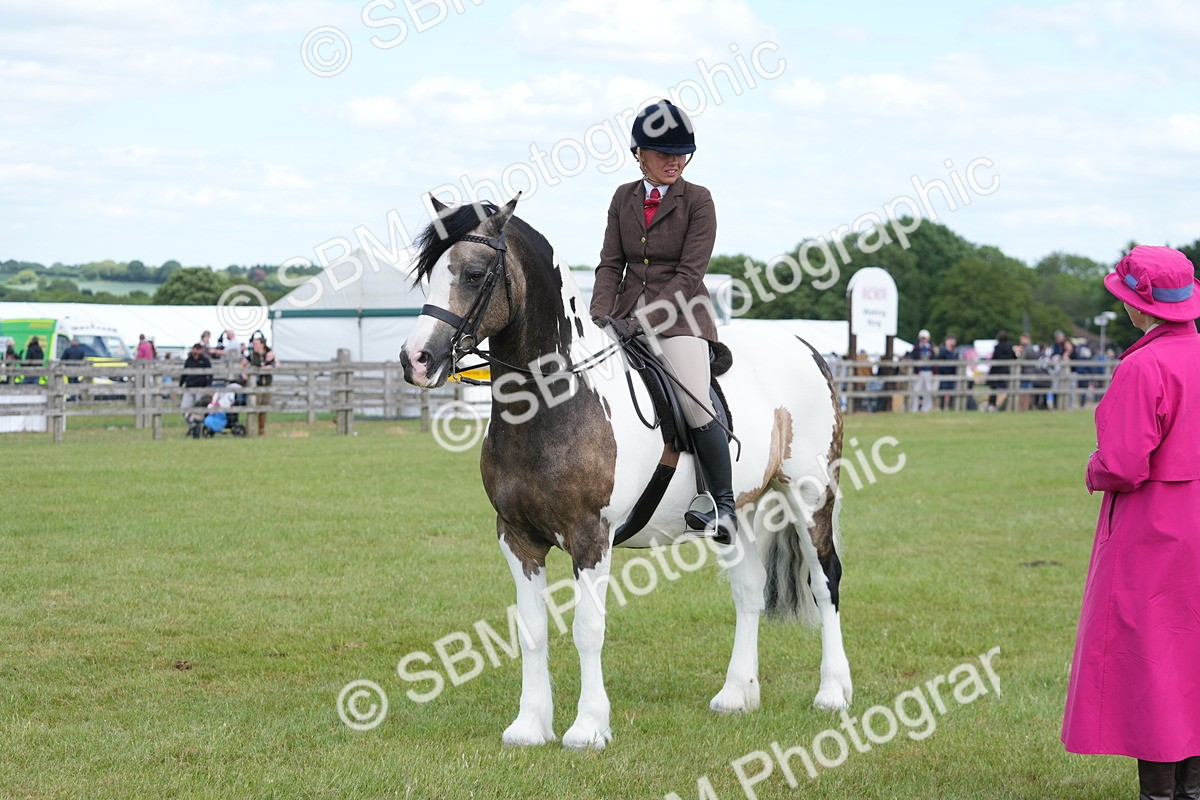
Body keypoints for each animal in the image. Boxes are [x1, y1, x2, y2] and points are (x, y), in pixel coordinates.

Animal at [400, 195, 852, 750]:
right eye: (430, 274)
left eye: (475, 273)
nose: (416, 359)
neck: (554, 399)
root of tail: (805, 347)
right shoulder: (517, 536)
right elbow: (530, 629)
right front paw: (529, 726)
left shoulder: (590, 536)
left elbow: (587, 628)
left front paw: (588, 728)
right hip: (738, 511)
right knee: (749, 590)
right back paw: (736, 695)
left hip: (810, 495)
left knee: (825, 580)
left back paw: (832, 693)